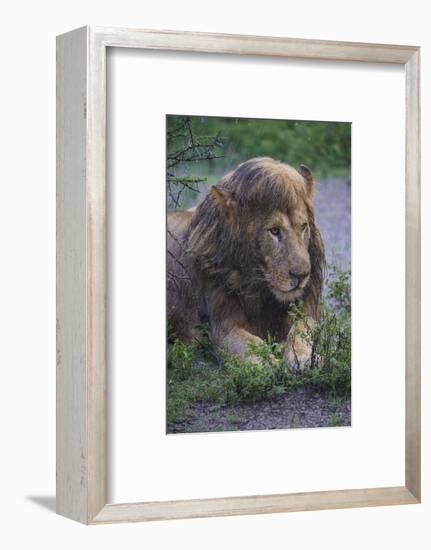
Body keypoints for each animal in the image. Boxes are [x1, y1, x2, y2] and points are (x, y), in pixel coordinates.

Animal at [167, 156, 326, 370]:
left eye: (303, 227)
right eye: (274, 231)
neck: (261, 290)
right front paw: (267, 361)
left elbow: (301, 331)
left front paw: (303, 358)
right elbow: (251, 344)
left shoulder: (306, 311)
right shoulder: (221, 328)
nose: (301, 276)